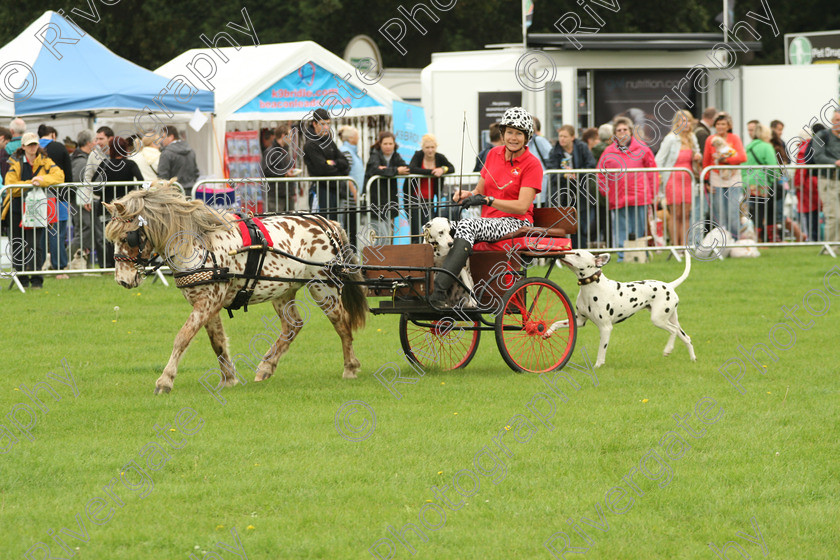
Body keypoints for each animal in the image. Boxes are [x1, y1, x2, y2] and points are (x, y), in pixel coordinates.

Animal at [552, 249, 696, 368]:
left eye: (577, 254)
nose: (562, 254)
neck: (592, 287)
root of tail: (669, 285)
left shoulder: (605, 328)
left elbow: (601, 350)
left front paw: (597, 365)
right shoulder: (579, 321)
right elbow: (556, 323)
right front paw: (548, 331)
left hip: (658, 320)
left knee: (673, 330)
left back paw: (668, 349)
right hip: (670, 319)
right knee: (685, 337)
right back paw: (693, 359)